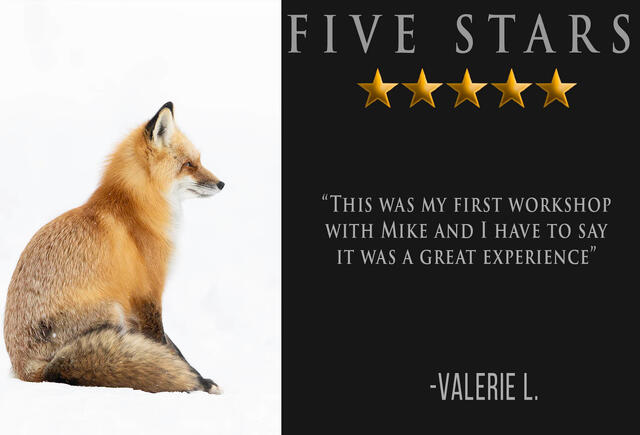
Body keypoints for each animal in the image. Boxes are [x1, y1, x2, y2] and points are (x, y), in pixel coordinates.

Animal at [3, 102, 224, 394]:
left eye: (199, 160)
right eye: (189, 164)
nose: (222, 183)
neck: (136, 208)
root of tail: (29, 370)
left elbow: (169, 347)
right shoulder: (148, 294)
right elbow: (166, 346)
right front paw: (195, 379)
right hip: (112, 310)